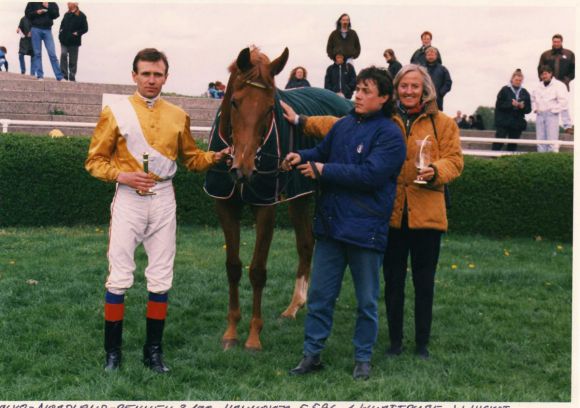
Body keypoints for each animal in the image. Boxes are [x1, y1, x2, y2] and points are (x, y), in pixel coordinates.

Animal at [207, 45, 354, 350]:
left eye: (268, 108)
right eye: (235, 102)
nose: (243, 170)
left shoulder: (266, 206)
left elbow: (257, 270)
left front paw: (253, 336)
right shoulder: (225, 203)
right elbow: (233, 267)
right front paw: (231, 332)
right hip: (300, 195)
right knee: (306, 244)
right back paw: (295, 306)